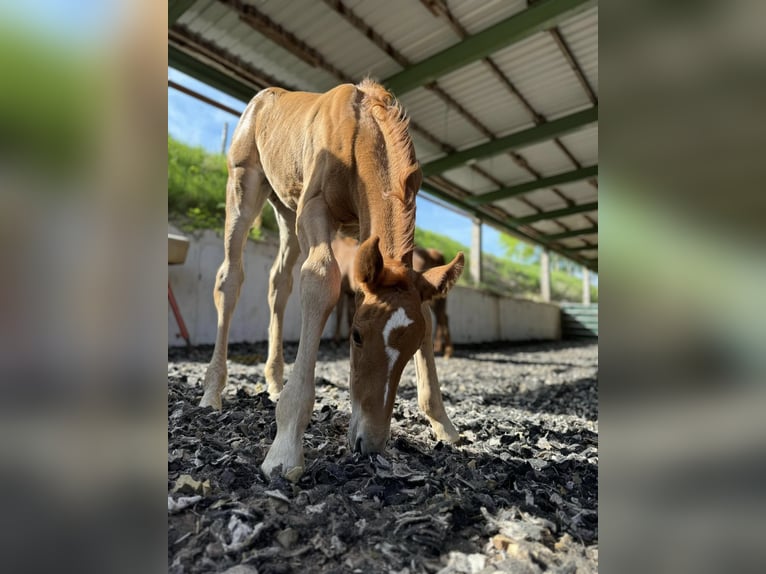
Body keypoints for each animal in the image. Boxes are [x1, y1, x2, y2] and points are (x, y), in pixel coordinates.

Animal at [200, 80, 462, 482]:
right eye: (356, 336)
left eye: (413, 346)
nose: (370, 443)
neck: (357, 131)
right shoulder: (315, 207)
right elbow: (322, 280)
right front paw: (285, 448)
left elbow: (428, 316)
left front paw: (443, 424)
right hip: (245, 184)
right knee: (230, 278)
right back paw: (212, 391)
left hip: (286, 208)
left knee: (279, 283)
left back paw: (274, 381)